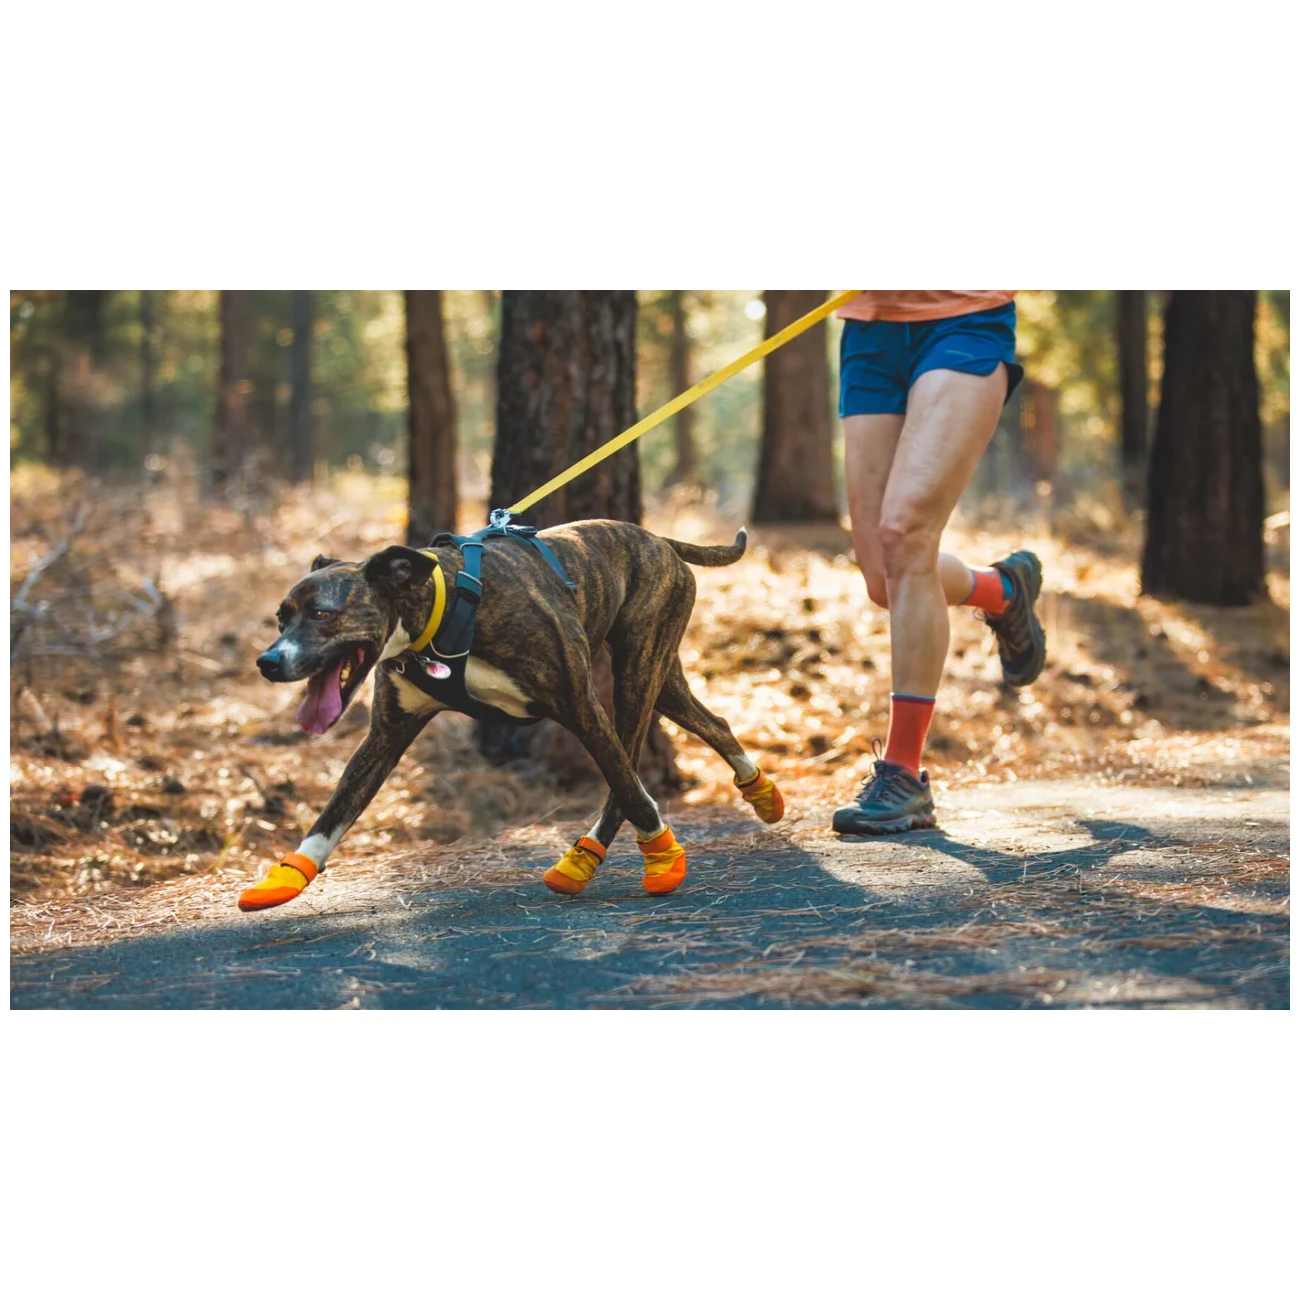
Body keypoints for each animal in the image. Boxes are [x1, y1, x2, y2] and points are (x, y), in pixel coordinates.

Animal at [239, 520, 785, 911]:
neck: (437, 612)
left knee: (626, 774)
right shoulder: (387, 734)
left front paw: (664, 858)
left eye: (323, 615)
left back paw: (598, 856)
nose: (268, 662)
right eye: (281, 619)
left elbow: (629, 788)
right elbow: (336, 810)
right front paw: (288, 875)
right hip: (661, 680)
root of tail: (659, 540)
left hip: (635, 678)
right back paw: (760, 794)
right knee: (713, 725)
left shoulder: (580, 706)